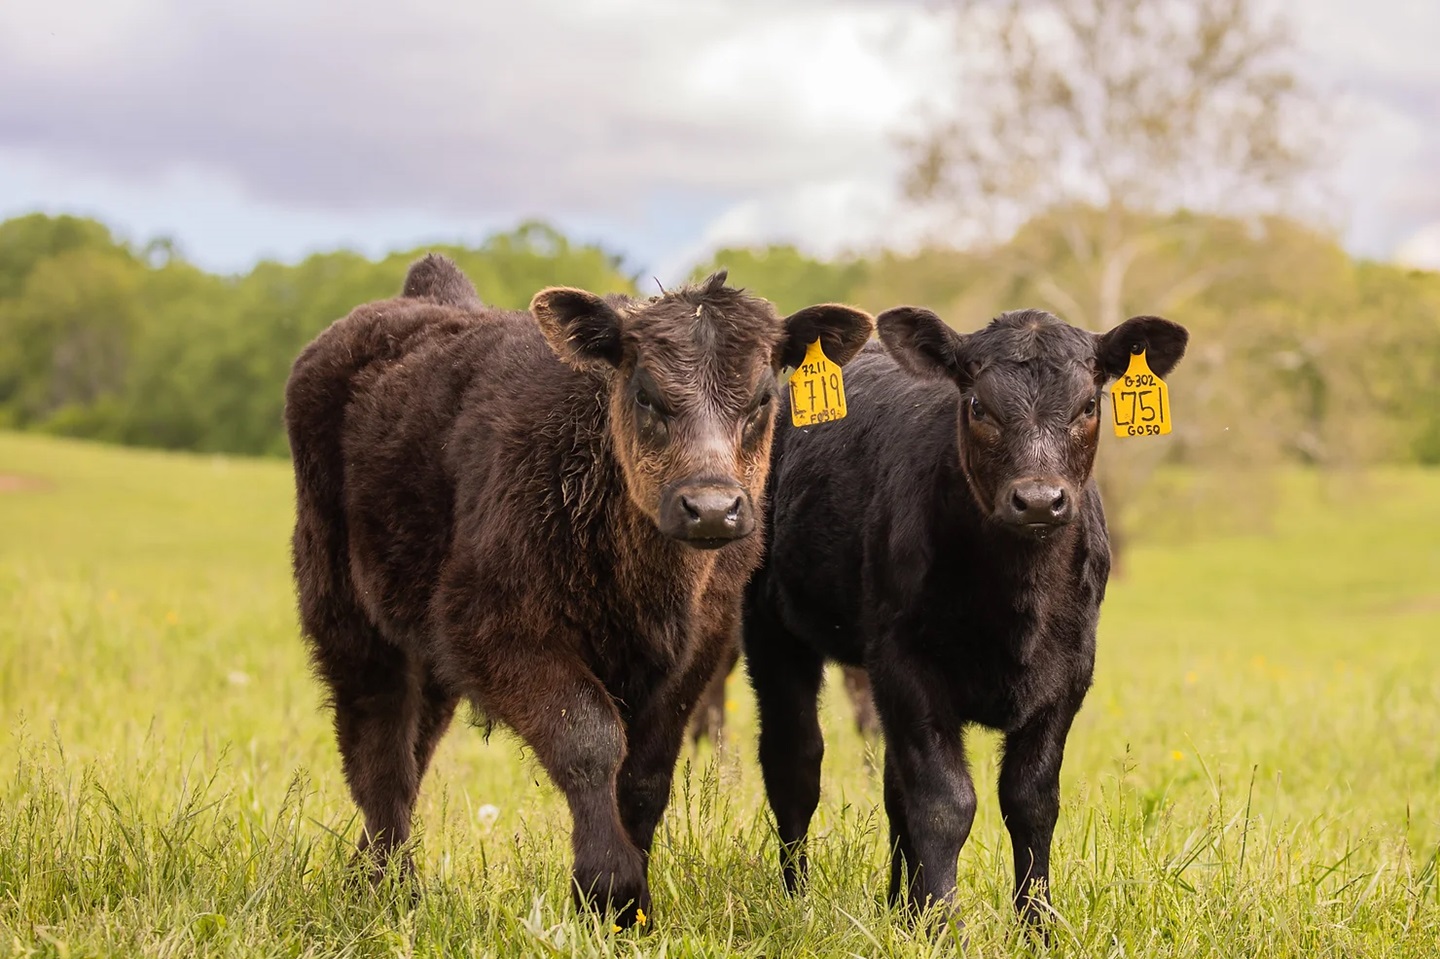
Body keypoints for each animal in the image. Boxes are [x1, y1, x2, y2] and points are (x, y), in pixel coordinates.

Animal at [283, 254, 873, 927]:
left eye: (763, 399)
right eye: (646, 394)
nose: (711, 509)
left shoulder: (698, 650)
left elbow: (645, 775)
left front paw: (632, 908)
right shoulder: (496, 630)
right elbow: (589, 739)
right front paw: (610, 888)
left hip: (424, 649)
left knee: (414, 748)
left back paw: (367, 878)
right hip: (346, 614)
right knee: (378, 753)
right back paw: (393, 890)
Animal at [742, 305, 1188, 928]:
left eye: (1089, 406)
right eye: (978, 406)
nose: (1039, 499)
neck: (1017, 608)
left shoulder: (1071, 672)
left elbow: (1030, 802)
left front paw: (1035, 928)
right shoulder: (905, 662)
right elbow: (944, 802)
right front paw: (941, 926)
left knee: (890, 785)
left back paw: (897, 908)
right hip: (770, 627)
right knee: (795, 762)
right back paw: (796, 902)